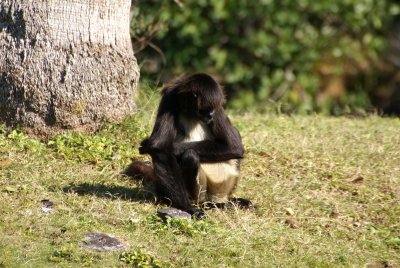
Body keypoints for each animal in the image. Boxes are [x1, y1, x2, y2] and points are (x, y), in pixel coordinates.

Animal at [127, 73, 253, 218]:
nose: (211, 115)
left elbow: (234, 145)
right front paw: (188, 208)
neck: (191, 112)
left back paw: (224, 203)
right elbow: (159, 148)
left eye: (213, 108)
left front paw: (171, 148)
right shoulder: (169, 98)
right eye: (206, 108)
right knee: (190, 156)